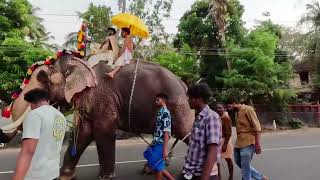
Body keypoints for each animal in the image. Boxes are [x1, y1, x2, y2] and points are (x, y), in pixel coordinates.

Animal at [0, 51, 195, 179]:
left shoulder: (103, 96)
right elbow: (84, 132)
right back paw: (151, 170)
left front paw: (105, 177)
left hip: (177, 105)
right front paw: (65, 176)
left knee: (187, 130)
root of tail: (183, 84)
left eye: (42, 78)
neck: (81, 63)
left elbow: (103, 130)